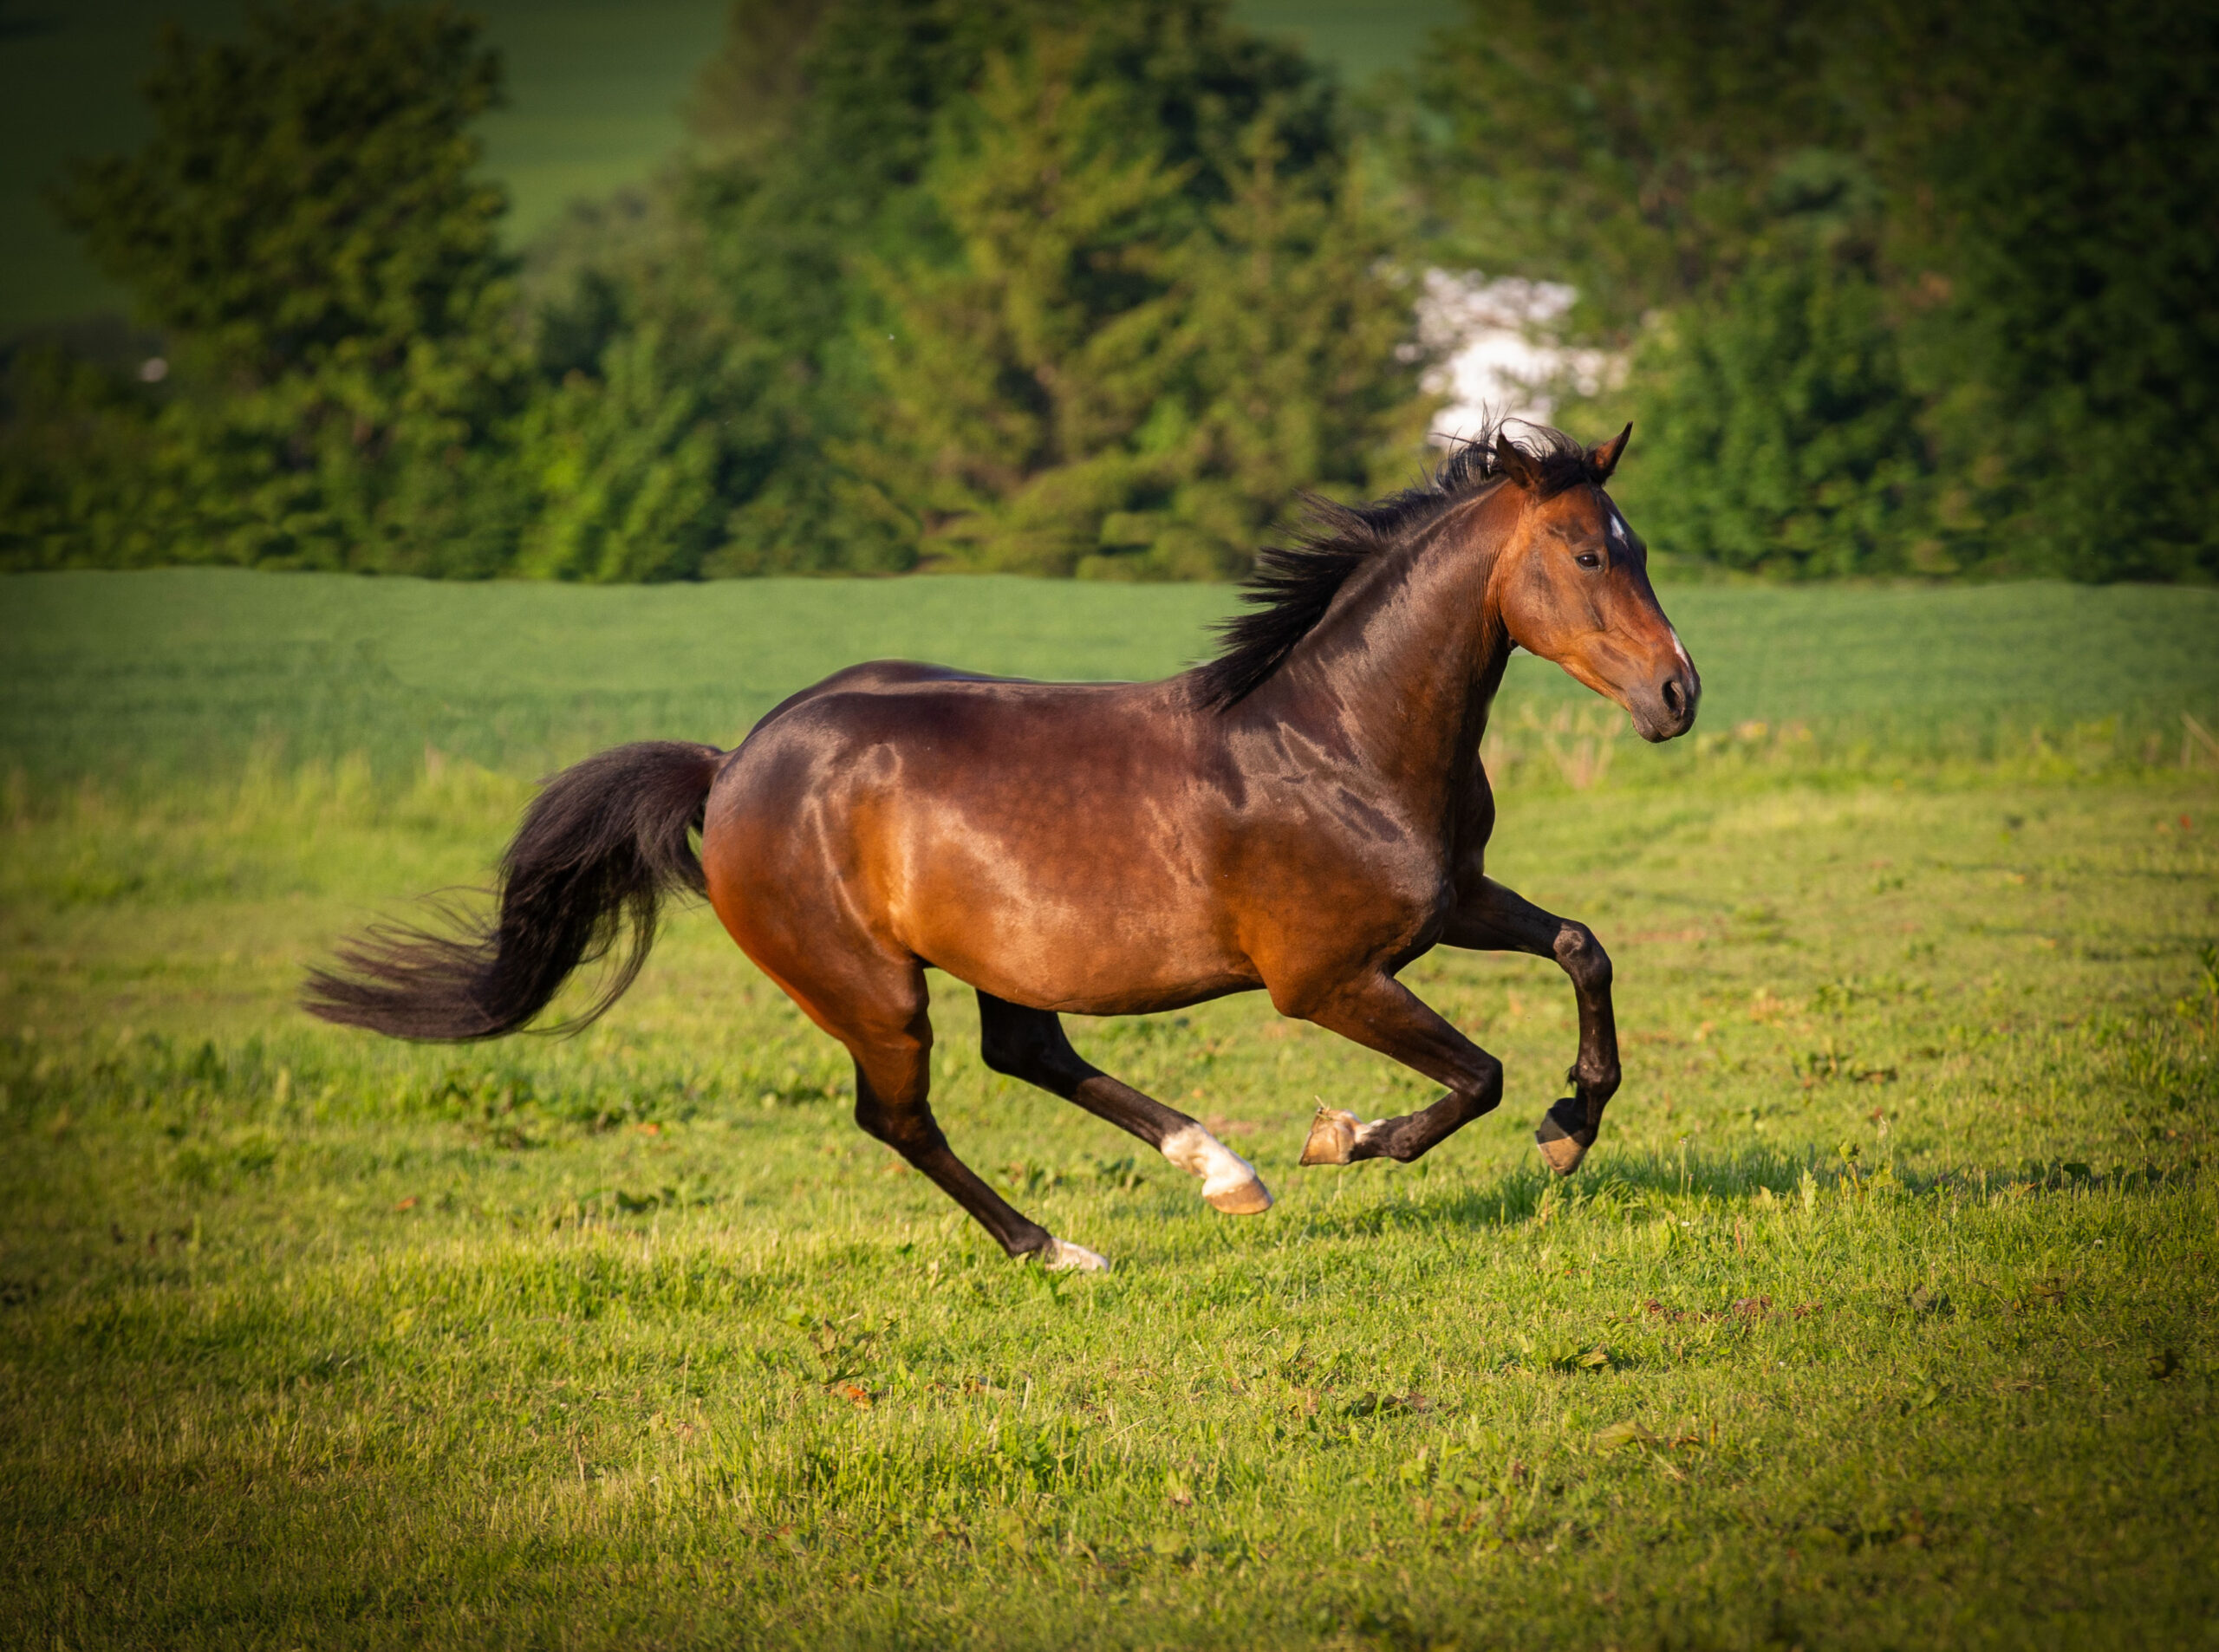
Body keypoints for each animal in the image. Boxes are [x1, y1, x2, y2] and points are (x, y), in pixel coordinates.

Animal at [308, 421, 1695, 1259]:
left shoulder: (1454, 899)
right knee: (901, 1117)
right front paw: (1350, 1138)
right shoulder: (1324, 979)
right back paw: (1061, 1245)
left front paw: (1573, 1125)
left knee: (1027, 1052)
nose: (1679, 695)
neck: (1336, 736)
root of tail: (733, 764)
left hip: (995, 955)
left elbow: (1584, 948)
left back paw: (1218, 1170)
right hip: (867, 986)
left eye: (1636, 547)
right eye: (1587, 553)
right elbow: (1475, 1076)